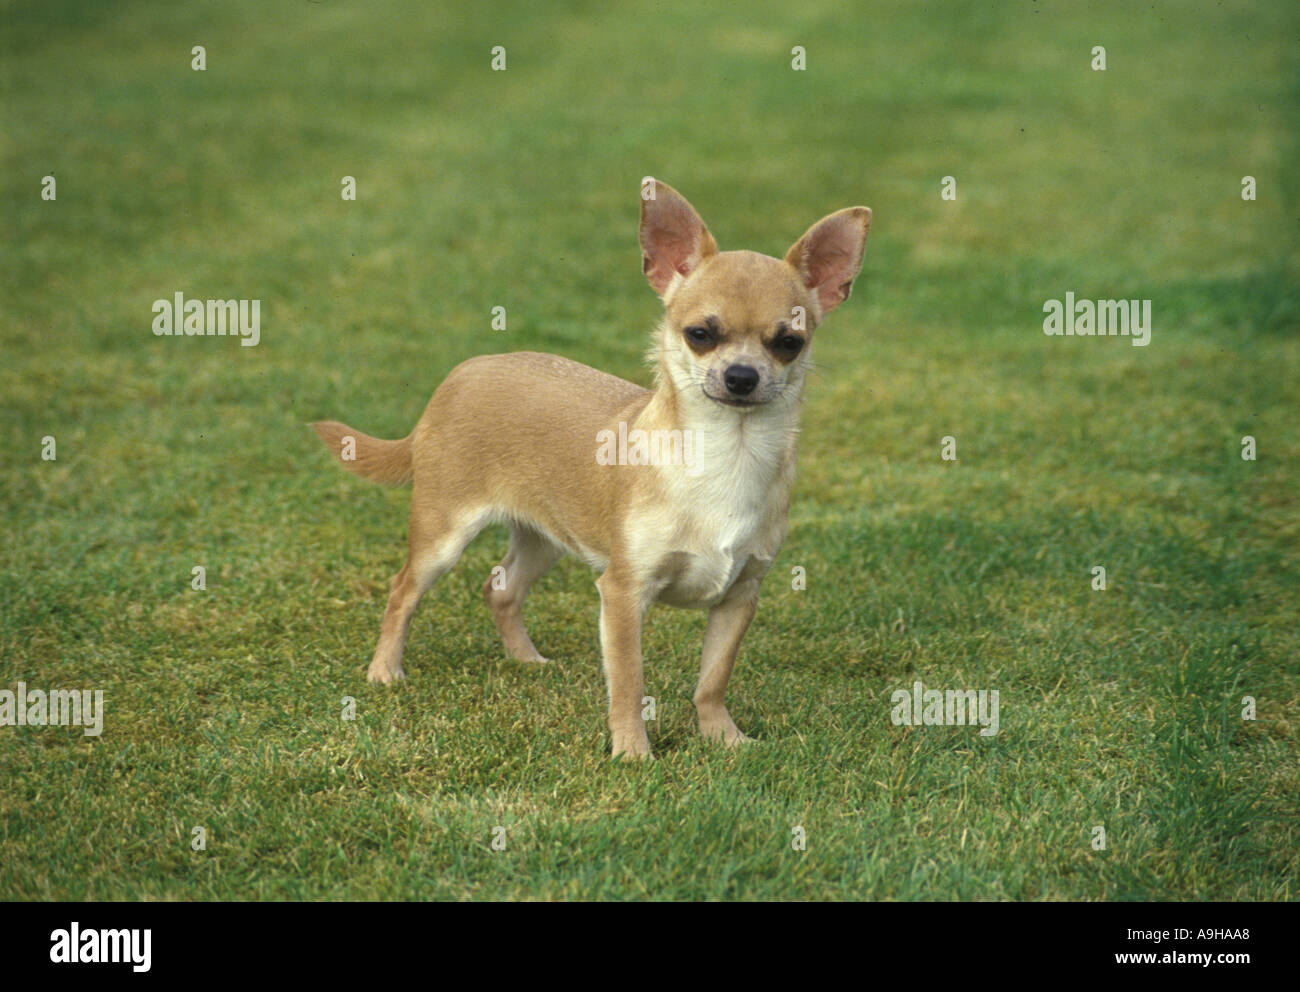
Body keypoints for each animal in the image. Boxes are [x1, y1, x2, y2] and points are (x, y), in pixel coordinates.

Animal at [309, 178, 868, 754]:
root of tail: (462, 373)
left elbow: (713, 679)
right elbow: (628, 681)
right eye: (700, 334)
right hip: (442, 536)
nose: (741, 376)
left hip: (546, 540)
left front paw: (723, 738)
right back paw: (384, 671)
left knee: (501, 588)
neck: (727, 455)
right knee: (402, 591)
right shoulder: (622, 594)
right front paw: (633, 752)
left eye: (789, 343)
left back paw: (525, 660)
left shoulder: (739, 596)